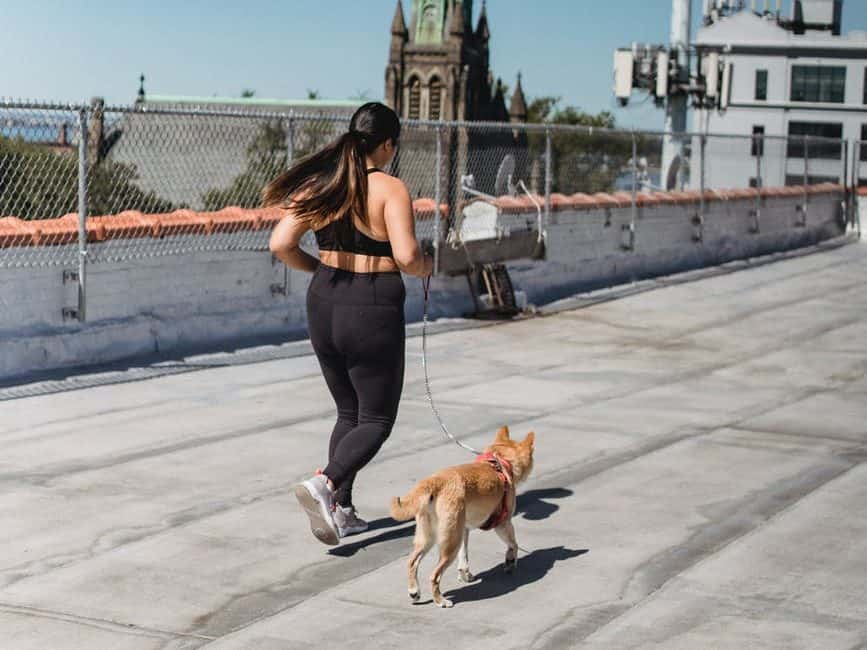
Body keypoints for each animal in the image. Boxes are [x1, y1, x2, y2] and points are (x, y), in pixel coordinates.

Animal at [388, 422, 536, 604]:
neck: (500, 461)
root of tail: (435, 481)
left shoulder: (464, 529)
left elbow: (463, 558)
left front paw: (465, 575)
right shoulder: (503, 523)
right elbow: (513, 544)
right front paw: (510, 562)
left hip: (431, 537)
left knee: (412, 562)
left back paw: (414, 591)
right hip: (450, 543)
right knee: (434, 575)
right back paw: (440, 600)